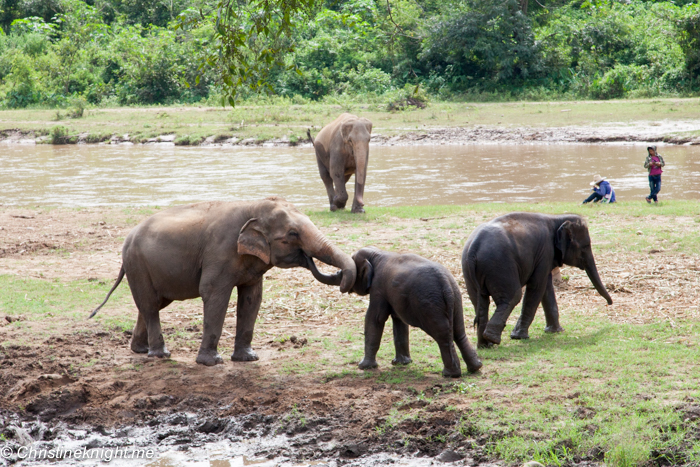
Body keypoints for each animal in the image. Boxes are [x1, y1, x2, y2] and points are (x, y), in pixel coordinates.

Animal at [90, 197, 356, 366]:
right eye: (292, 234)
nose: (342, 277)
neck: (252, 206)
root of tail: (128, 238)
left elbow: (252, 298)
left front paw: (248, 359)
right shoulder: (219, 252)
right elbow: (214, 294)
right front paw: (211, 363)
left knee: (151, 304)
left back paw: (141, 350)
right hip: (138, 264)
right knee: (149, 305)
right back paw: (160, 355)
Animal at [308, 247, 484, 378]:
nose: (306, 256)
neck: (378, 254)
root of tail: (446, 285)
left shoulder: (378, 287)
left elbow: (375, 319)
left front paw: (363, 367)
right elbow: (398, 320)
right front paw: (400, 363)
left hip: (431, 306)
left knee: (443, 335)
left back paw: (450, 374)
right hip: (457, 299)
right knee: (459, 332)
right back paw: (475, 368)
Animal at [464, 214, 612, 350]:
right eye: (586, 246)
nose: (609, 303)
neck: (557, 218)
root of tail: (474, 247)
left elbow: (546, 287)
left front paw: (555, 331)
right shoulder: (545, 252)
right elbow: (537, 287)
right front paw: (519, 337)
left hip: (472, 272)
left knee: (480, 303)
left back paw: (485, 345)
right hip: (499, 265)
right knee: (513, 296)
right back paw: (492, 339)